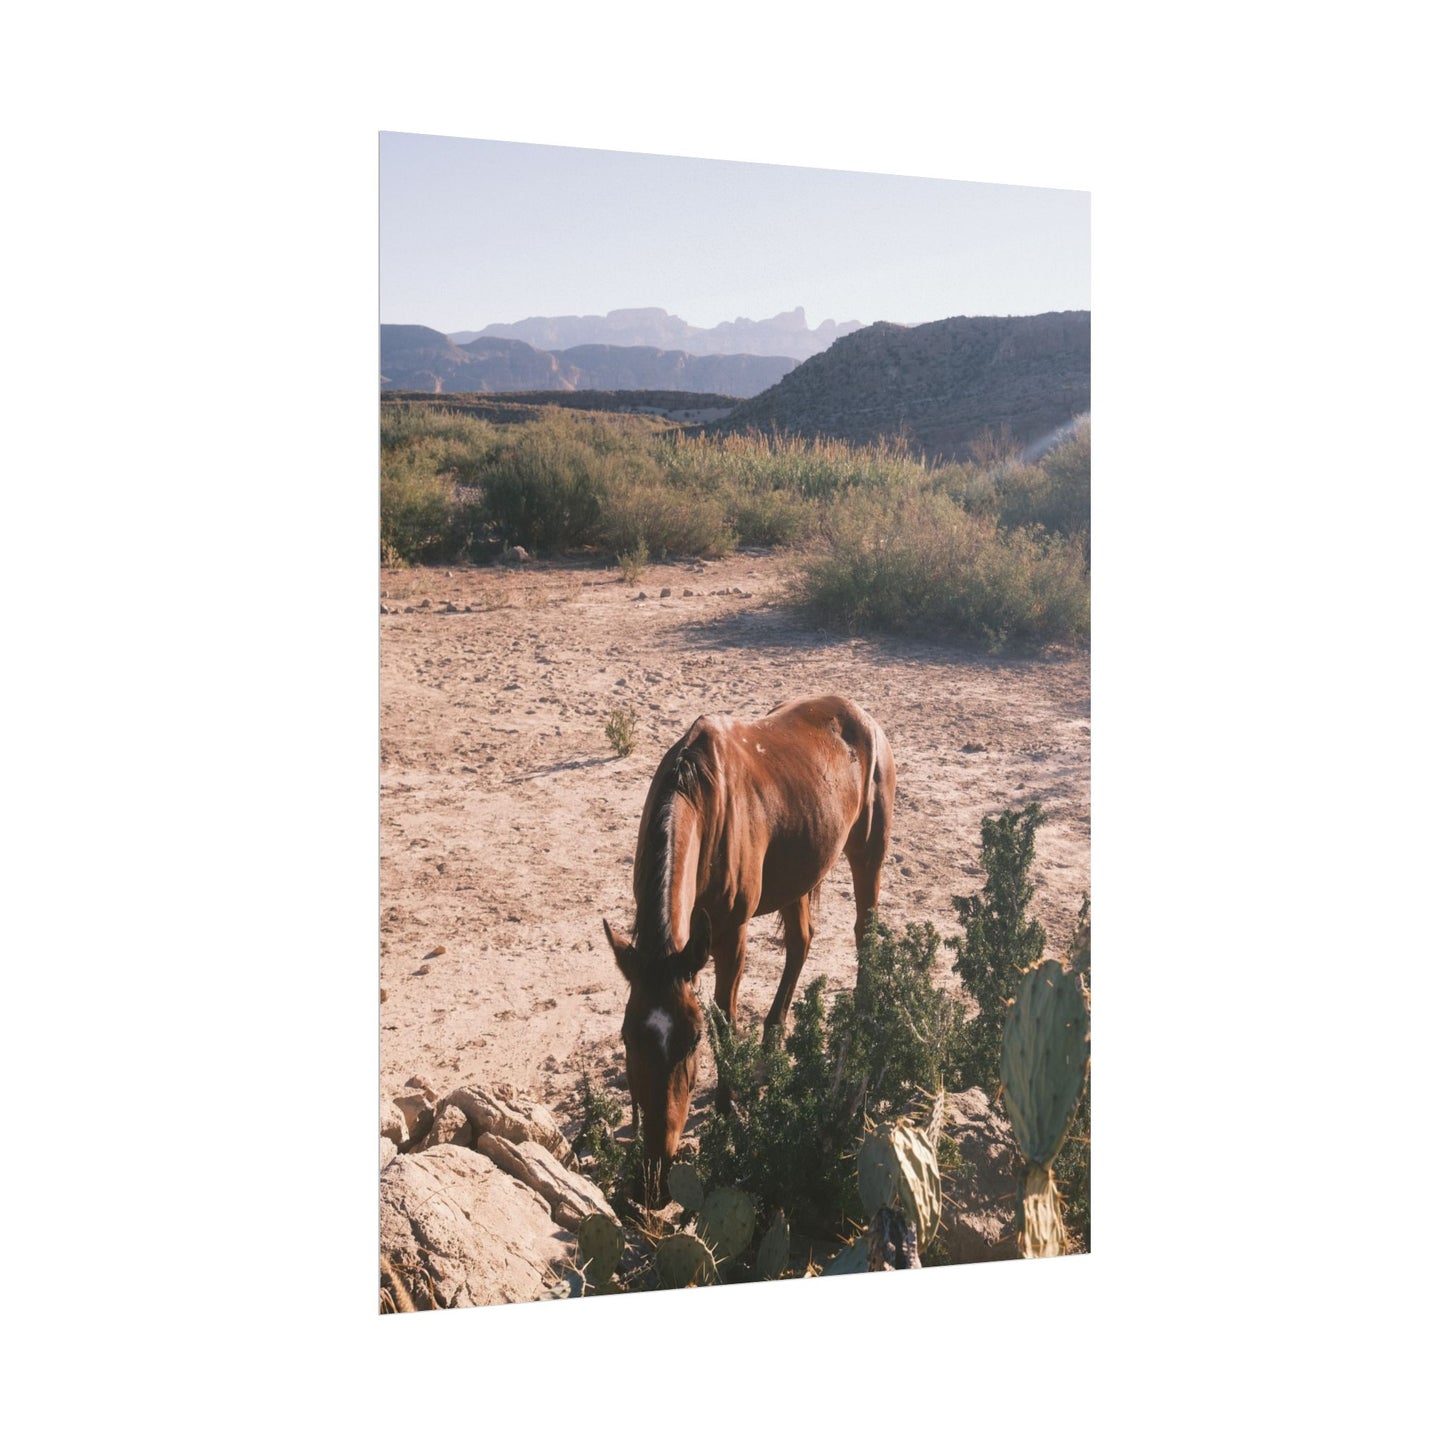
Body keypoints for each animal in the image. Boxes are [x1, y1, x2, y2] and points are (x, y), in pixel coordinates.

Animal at [602, 694, 896, 1192]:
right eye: (628, 1036)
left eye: (692, 1040)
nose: (656, 1170)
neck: (701, 799)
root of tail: (864, 718)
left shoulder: (729, 934)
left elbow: (725, 1018)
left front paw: (726, 1107)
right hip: (800, 873)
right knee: (800, 943)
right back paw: (770, 1042)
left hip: (867, 856)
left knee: (865, 935)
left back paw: (860, 1019)